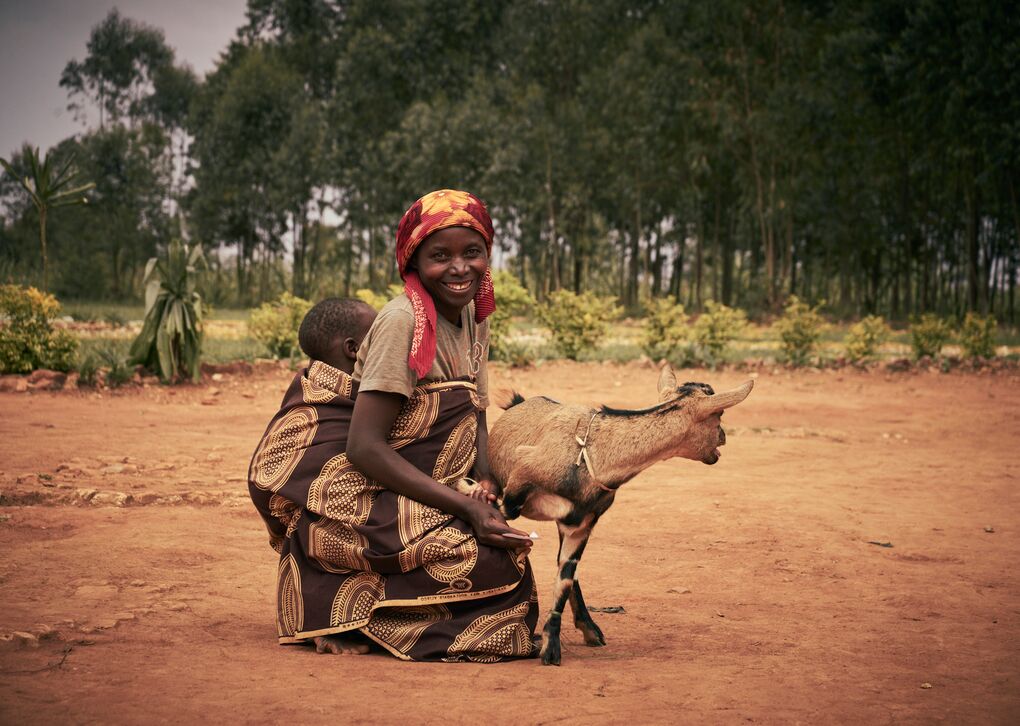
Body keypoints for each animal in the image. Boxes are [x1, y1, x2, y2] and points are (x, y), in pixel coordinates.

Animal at [462, 364, 753, 665]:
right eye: (719, 414)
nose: (723, 437)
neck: (594, 454)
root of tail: (518, 402)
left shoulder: (583, 524)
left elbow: (566, 575)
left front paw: (551, 646)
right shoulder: (515, 489)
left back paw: (590, 629)